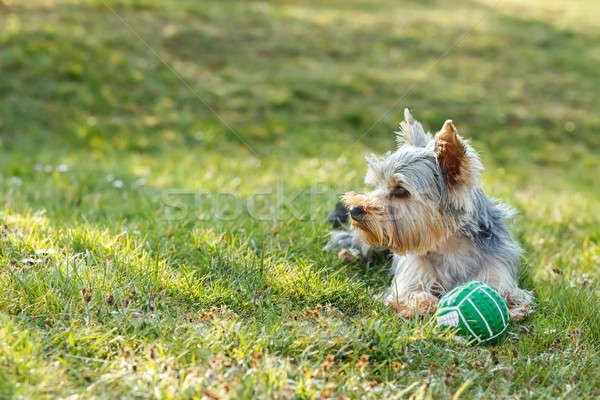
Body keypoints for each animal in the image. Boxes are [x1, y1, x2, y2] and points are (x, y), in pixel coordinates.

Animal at [328, 108, 536, 318]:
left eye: (401, 190)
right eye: (377, 184)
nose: (354, 209)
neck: (449, 243)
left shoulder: (497, 268)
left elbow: (503, 292)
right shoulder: (413, 275)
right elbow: (409, 292)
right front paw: (423, 303)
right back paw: (350, 254)